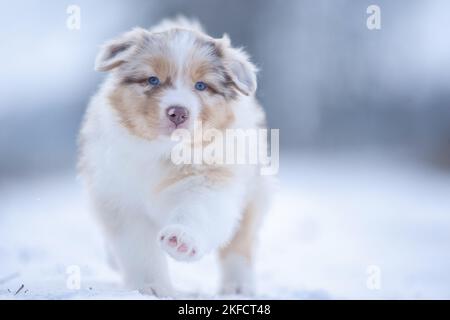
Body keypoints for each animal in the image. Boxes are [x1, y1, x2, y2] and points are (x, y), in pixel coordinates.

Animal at [77, 18, 270, 298]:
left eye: (201, 85)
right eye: (153, 80)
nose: (178, 112)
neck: (164, 151)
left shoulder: (210, 179)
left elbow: (196, 210)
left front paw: (180, 239)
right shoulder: (121, 200)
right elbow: (139, 247)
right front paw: (151, 287)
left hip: (254, 193)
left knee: (239, 245)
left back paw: (238, 287)